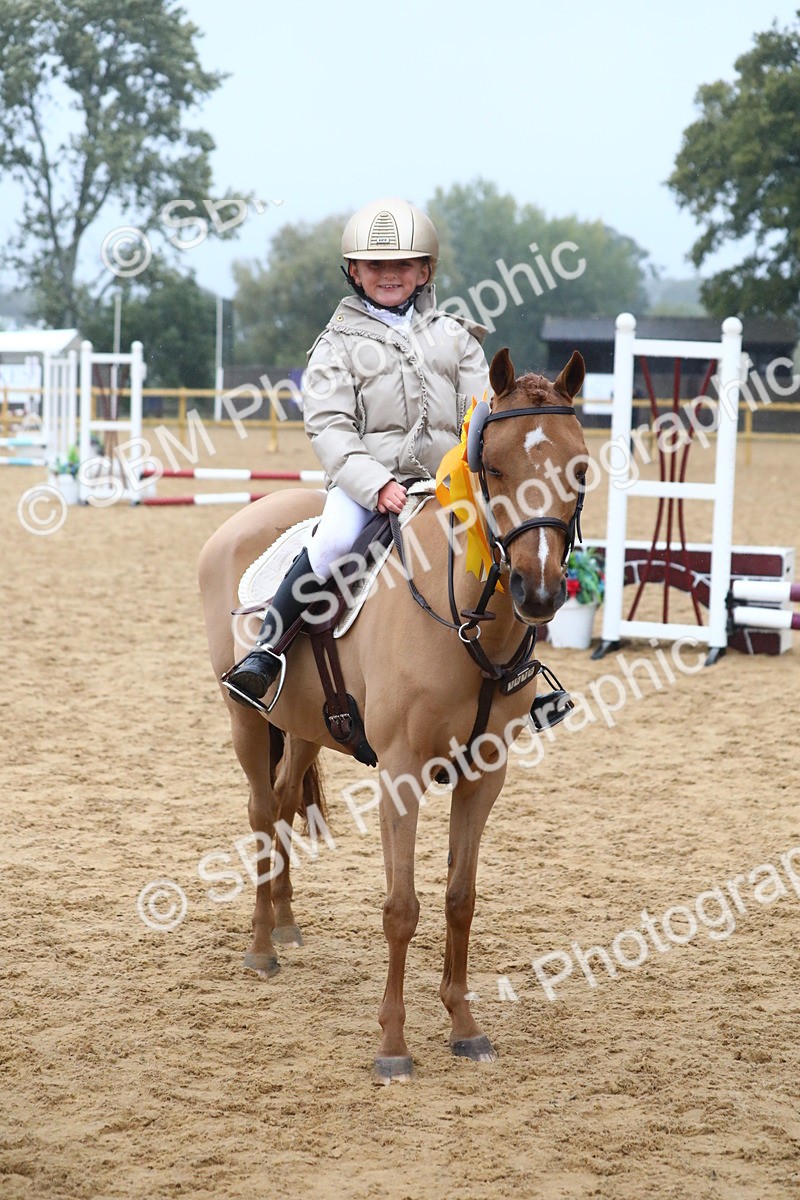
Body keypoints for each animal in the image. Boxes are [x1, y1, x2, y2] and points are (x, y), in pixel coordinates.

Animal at [199, 347, 589, 1081]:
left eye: (579, 467)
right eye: (495, 467)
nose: (539, 592)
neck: (464, 617)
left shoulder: (484, 774)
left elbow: (460, 898)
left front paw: (464, 1025)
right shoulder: (401, 774)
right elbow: (402, 908)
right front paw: (393, 1045)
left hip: (304, 727)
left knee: (286, 799)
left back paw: (286, 924)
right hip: (245, 719)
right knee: (262, 813)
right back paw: (262, 947)